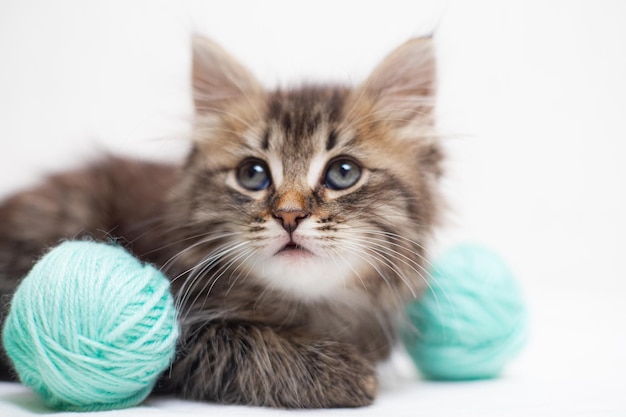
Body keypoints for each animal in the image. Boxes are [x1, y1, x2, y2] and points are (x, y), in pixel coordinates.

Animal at [0, 35, 442, 406]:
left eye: (343, 173)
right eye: (253, 174)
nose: (289, 215)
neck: (307, 309)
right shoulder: (182, 336)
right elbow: (245, 345)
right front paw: (342, 372)